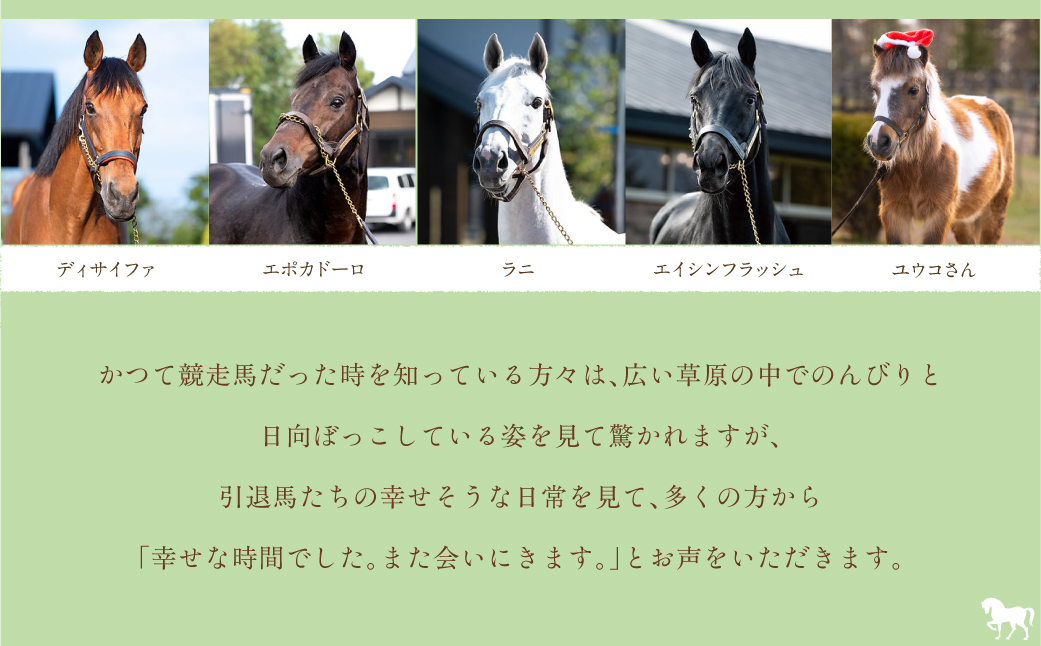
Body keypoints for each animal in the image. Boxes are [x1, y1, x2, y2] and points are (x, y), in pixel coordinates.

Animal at [864, 30, 1014, 244]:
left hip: (994, 211)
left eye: (913, 90)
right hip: (963, 221)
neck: (924, 162)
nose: (878, 142)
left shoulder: (938, 217)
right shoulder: (894, 214)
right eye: (876, 89)